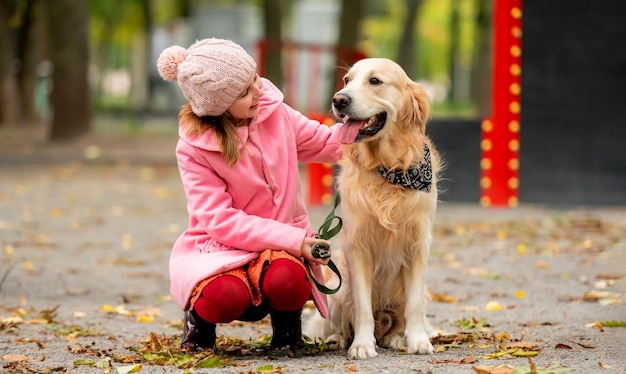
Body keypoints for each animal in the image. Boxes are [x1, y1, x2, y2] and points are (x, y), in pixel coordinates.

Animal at [302, 57, 438, 360]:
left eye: (375, 81)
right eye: (347, 80)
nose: (339, 100)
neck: (387, 169)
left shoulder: (418, 245)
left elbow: (413, 305)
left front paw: (418, 340)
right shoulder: (357, 247)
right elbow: (362, 307)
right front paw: (362, 344)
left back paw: (396, 337)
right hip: (337, 291)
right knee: (342, 320)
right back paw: (340, 339)